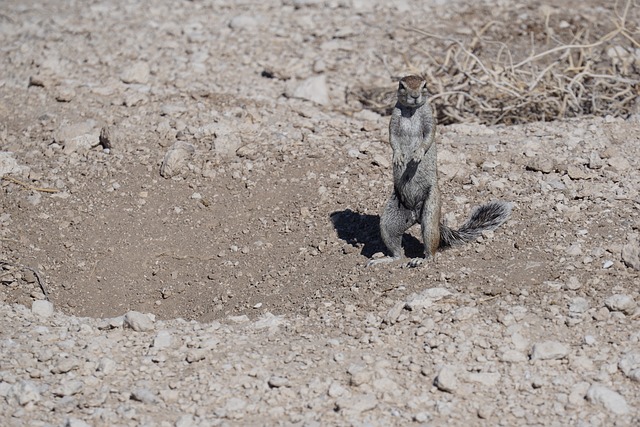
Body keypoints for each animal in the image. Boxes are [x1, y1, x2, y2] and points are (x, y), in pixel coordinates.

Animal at [368, 75, 512, 266]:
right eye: (402, 85)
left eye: (425, 85)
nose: (415, 96)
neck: (411, 110)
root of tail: (415, 215)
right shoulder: (393, 119)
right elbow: (392, 138)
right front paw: (398, 157)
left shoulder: (430, 118)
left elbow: (428, 137)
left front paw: (417, 155)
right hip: (389, 222)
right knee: (396, 249)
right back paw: (385, 259)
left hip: (430, 212)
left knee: (431, 247)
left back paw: (422, 260)